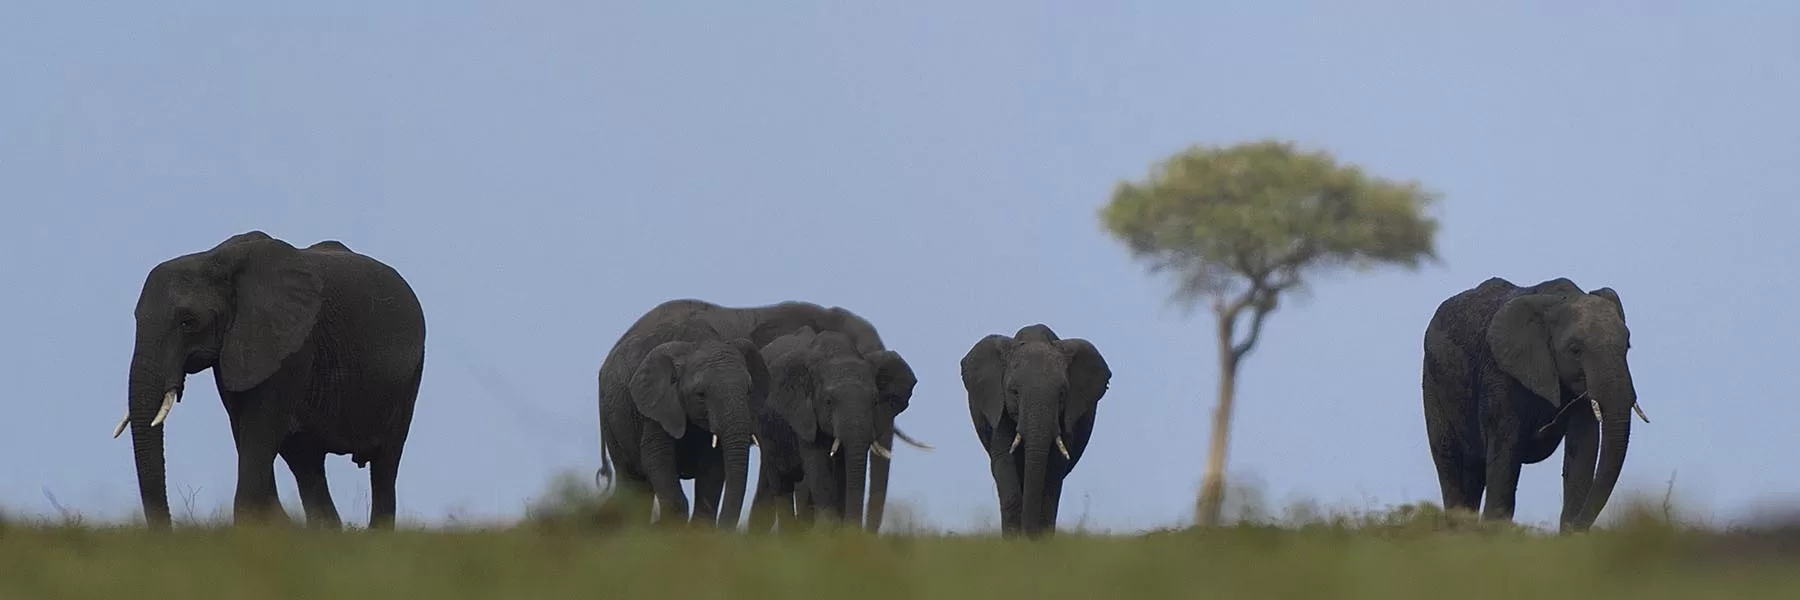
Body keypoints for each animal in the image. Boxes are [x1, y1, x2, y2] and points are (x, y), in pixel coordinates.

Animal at [113, 231, 426, 531]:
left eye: (187, 322)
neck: (215, 259)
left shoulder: (291, 346)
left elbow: (259, 428)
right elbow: (245, 428)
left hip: (410, 376)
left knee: (386, 462)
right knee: (306, 462)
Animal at [595, 309, 770, 529]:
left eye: (749, 391)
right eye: (701, 394)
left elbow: (713, 467)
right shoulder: (656, 404)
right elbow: (656, 458)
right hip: (611, 419)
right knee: (630, 478)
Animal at [744, 326, 918, 533]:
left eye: (875, 402)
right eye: (828, 401)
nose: (856, 530)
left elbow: (843, 468)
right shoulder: (803, 414)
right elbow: (817, 463)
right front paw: (830, 530)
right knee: (781, 482)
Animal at [961, 323, 1111, 539]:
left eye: (1062, 394)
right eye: (1014, 392)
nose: (1028, 536)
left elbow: (1053, 473)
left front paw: (1040, 542)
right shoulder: (998, 407)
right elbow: (1004, 461)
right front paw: (1013, 542)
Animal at [1421, 276, 1647, 532]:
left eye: (1627, 346)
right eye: (1575, 350)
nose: (1578, 527)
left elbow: (1584, 447)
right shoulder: (1499, 374)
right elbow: (1505, 449)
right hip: (1432, 382)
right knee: (1448, 458)